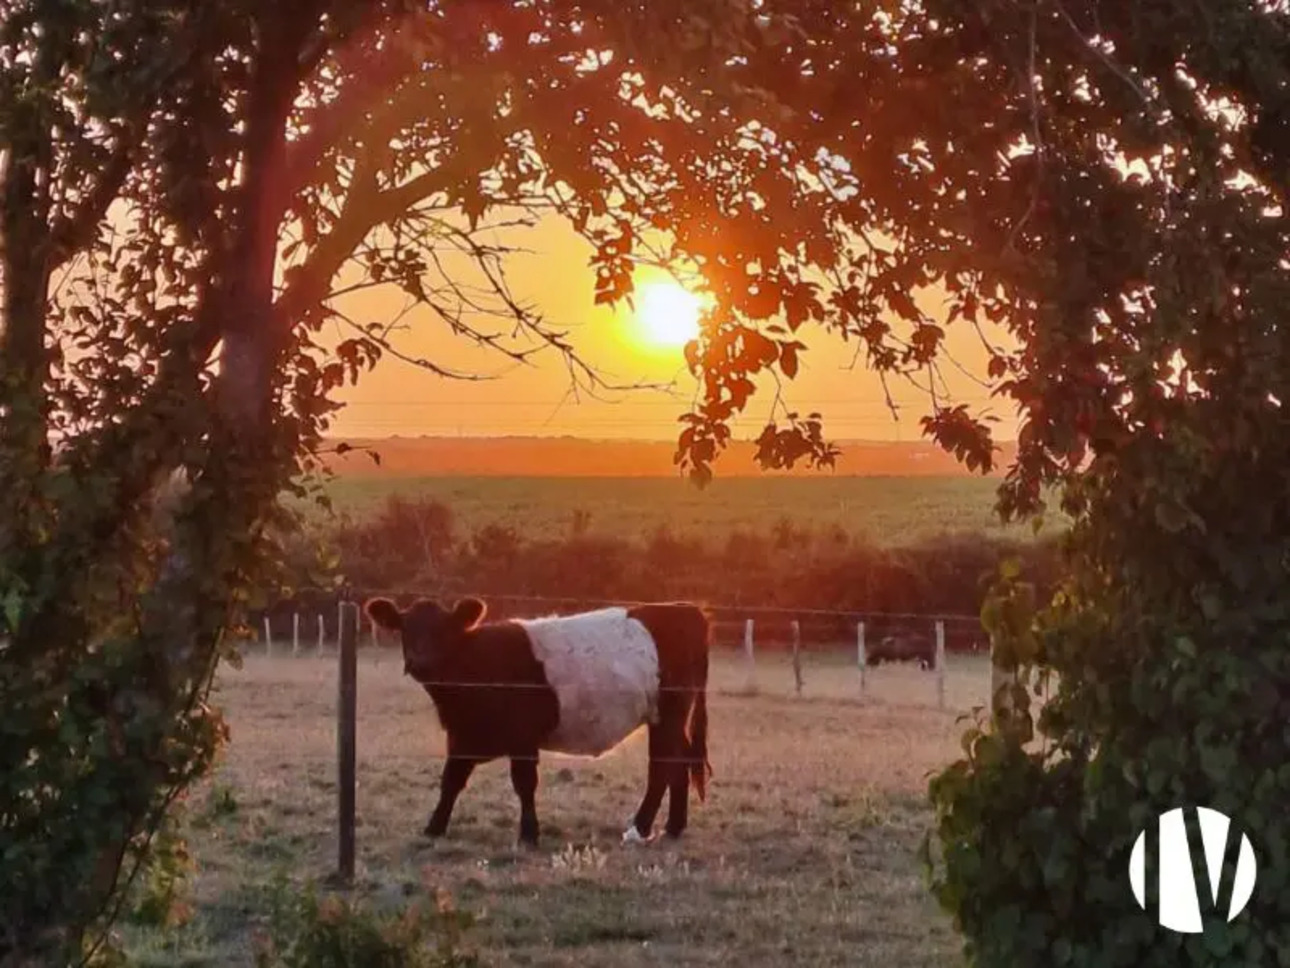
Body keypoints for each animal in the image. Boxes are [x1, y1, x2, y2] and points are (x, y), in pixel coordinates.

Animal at [366, 596, 717, 851]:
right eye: (406, 629)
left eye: (443, 631)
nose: (420, 662)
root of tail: (685, 608)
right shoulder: (462, 735)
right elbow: (451, 780)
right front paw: (434, 828)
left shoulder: (522, 737)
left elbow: (524, 783)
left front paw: (528, 834)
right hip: (668, 718)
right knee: (680, 761)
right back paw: (673, 828)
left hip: (668, 712)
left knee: (662, 765)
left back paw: (639, 828)